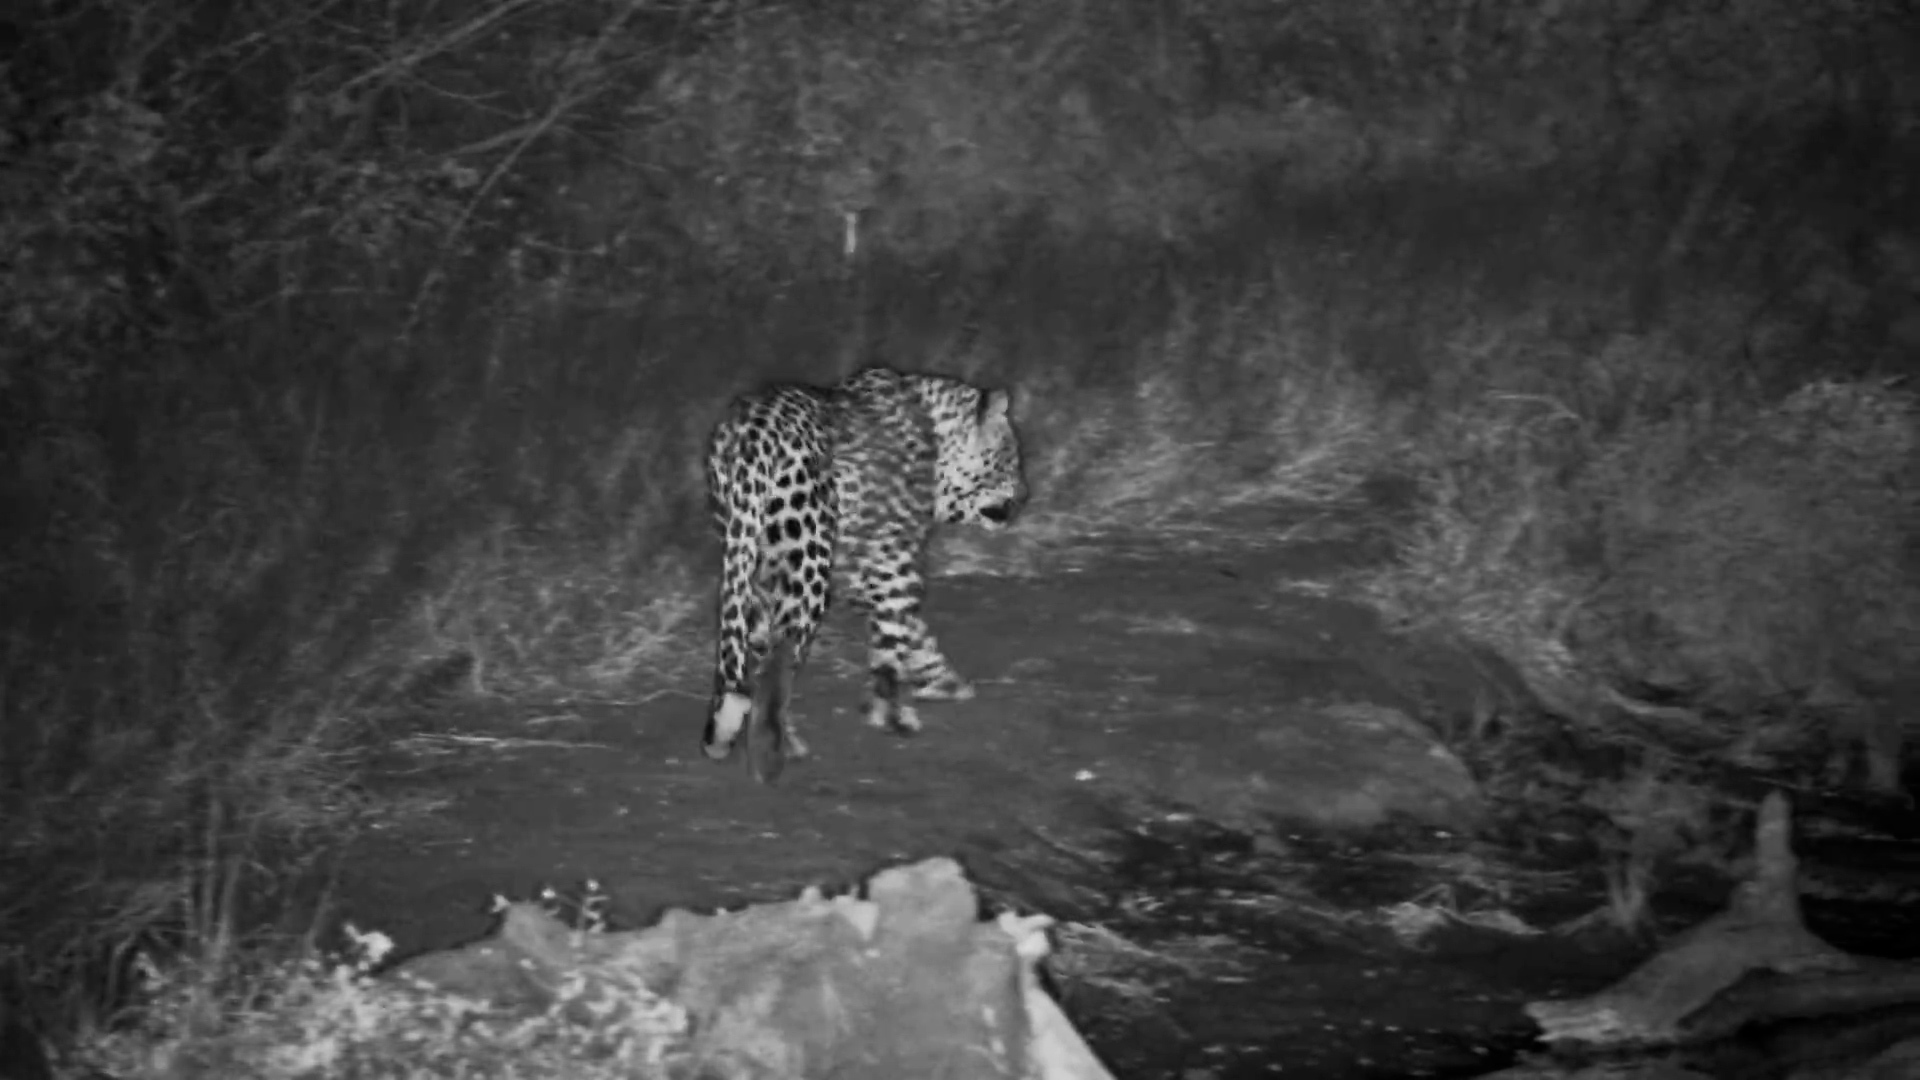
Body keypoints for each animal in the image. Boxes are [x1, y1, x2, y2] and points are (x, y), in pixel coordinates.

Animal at [701, 365, 1026, 779]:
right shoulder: (892, 554)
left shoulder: (858, 565)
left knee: (757, 653)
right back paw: (778, 745)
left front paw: (936, 679)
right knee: (781, 657)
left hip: (751, 563)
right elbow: (896, 624)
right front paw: (894, 711)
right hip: (808, 568)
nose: (1025, 495)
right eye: (1011, 460)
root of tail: (751, 440)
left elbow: (907, 627)